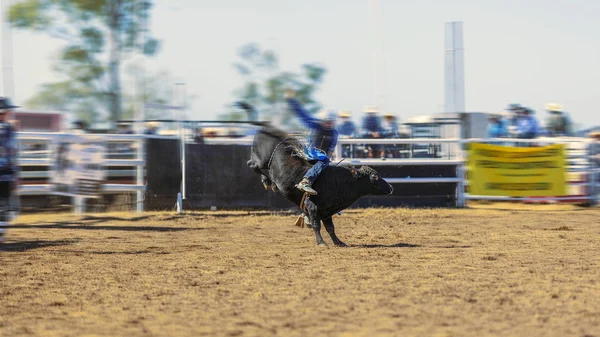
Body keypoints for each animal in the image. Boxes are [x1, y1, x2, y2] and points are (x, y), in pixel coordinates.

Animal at [247, 122, 394, 245]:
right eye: (375, 176)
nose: (391, 188)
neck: (338, 182)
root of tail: (265, 128)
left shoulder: (327, 211)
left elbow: (330, 228)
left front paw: (339, 242)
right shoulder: (312, 206)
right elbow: (316, 225)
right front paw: (321, 242)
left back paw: (271, 184)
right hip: (262, 160)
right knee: (252, 164)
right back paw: (267, 181)